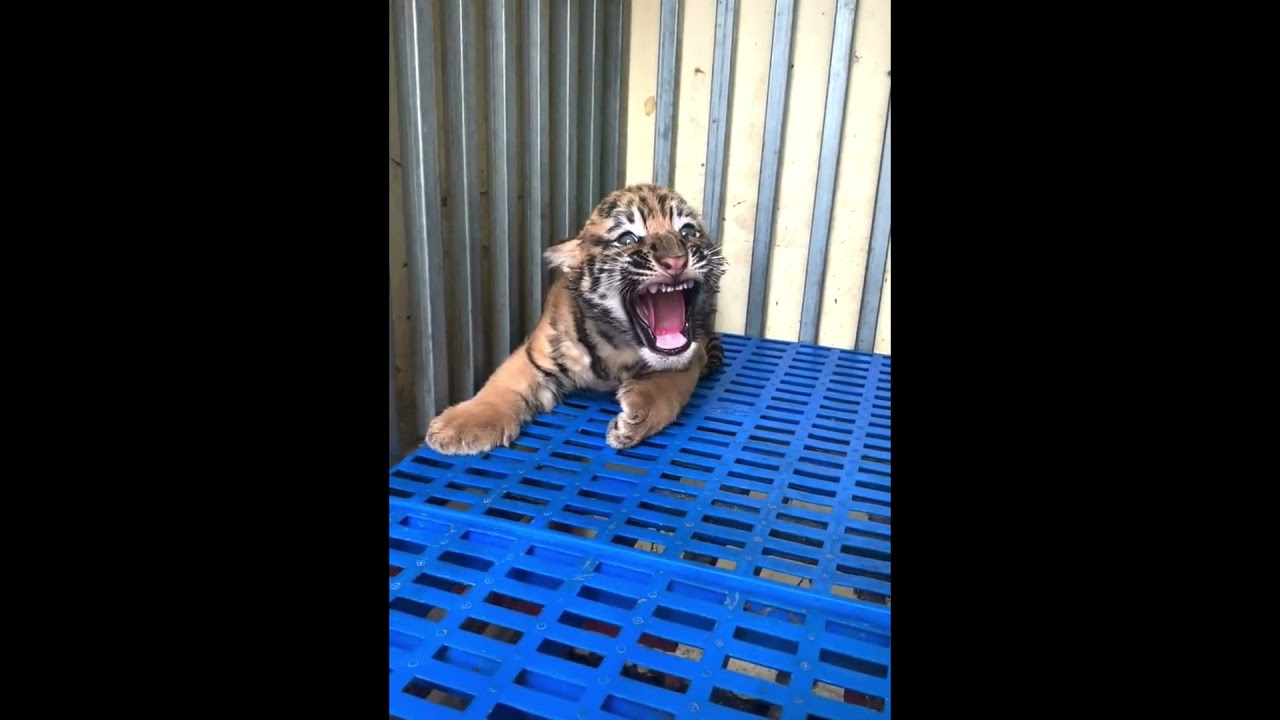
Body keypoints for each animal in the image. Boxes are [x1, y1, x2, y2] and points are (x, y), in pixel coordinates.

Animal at [425, 183, 728, 456]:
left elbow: (668, 386)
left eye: (687, 231)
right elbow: (501, 384)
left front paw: (636, 416)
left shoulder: (691, 355)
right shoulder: (534, 355)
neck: (617, 345)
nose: (675, 260)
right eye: (627, 239)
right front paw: (458, 427)